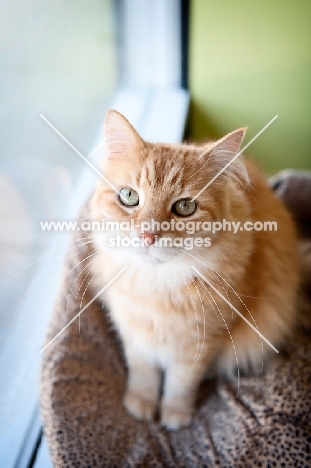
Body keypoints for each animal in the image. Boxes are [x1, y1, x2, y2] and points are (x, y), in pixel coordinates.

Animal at [89, 109, 298, 428]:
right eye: (129, 196)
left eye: (185, 207)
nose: (148, 235)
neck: (157, 287)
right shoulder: (135, 335)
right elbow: (144, 374)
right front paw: (141, 404)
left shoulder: (202, 343)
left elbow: (181, 383)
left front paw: (175, 416)